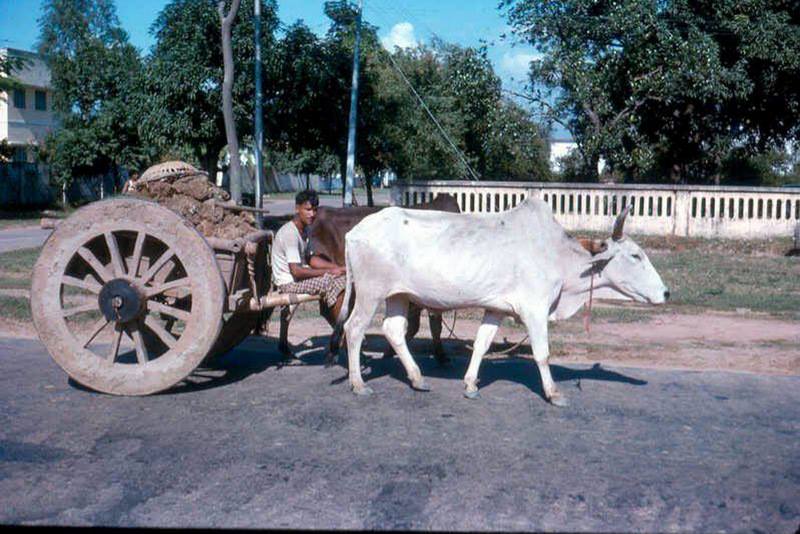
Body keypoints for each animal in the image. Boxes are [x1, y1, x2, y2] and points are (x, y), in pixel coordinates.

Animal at [334, 198, 669, 406]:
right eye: (635, 255)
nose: (666, 293)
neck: (556, 255)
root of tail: (355, 231)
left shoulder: (495, 308)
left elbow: (481, 344)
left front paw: (470, 384)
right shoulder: (535, 310)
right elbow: (542, 354)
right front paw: (553, 393)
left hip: (398, 295)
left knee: (394, 330)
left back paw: (417, 378)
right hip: (370, 293)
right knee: (354, 329)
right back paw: (358, 383)